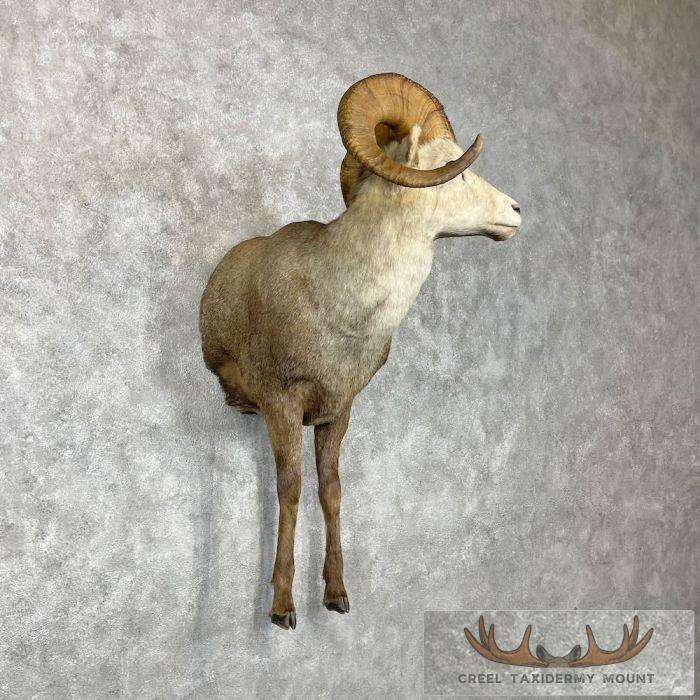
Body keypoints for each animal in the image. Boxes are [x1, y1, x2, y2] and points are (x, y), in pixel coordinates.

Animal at [199, 73, 521, 629]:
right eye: (455, 169)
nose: (516, 212)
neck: (337, 302)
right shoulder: (282, 404)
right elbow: (291, 488)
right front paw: (282, 609)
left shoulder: (338, 411)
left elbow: (331, 490)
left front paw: (336, 595)